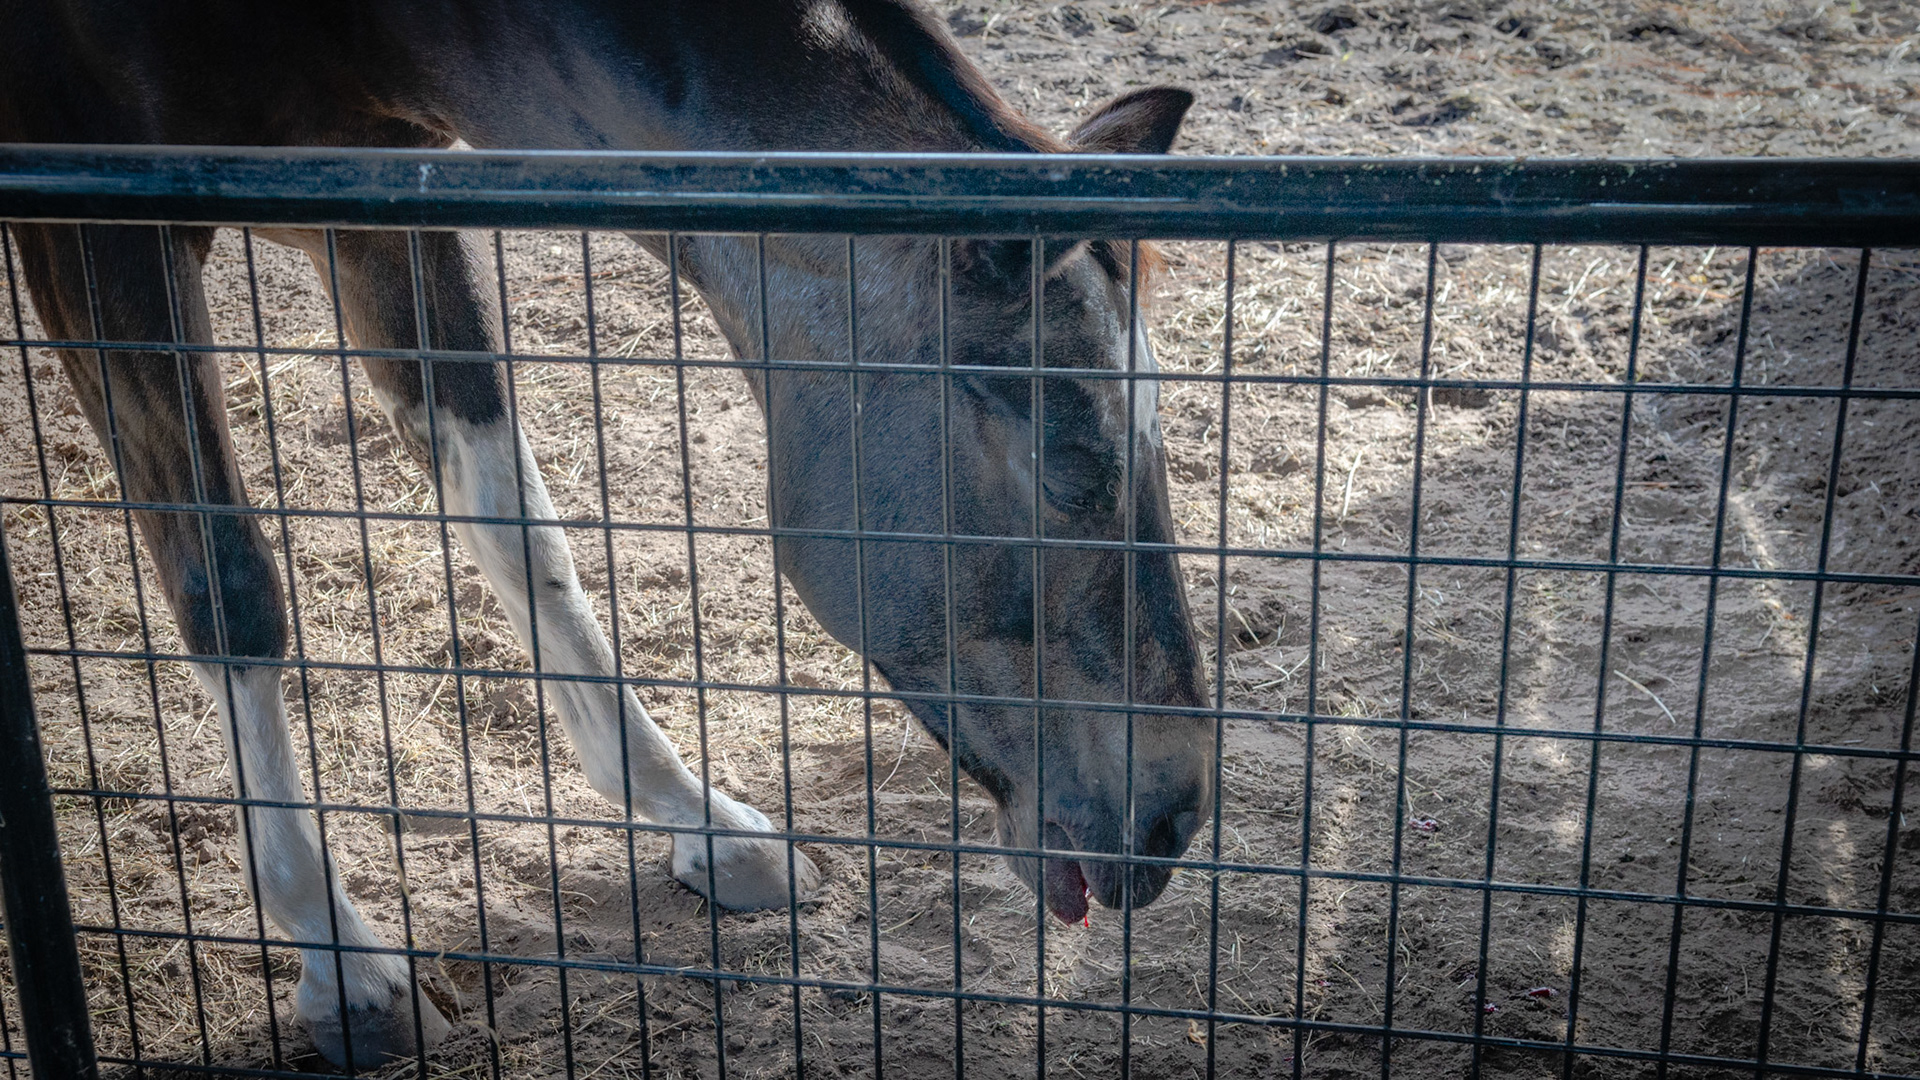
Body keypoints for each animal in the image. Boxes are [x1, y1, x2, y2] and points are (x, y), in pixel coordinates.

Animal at [0, 0, 1212, 1066]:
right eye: (1074, 465)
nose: (1172, 815)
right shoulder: (95, 236)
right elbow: (228, 584)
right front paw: (342, 962)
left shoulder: (370, 185)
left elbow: (519, 525)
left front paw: (699, 819)